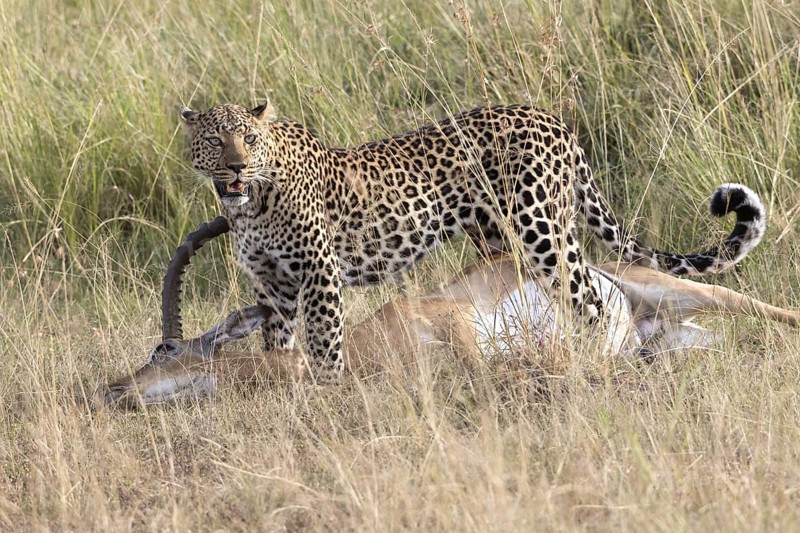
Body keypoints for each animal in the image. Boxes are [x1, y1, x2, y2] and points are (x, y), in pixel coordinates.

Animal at [178, 101, 764, 384]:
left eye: (248, 139)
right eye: (215, 139)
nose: (236, 166)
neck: (250, 204)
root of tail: (556, 121)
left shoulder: (320, 274)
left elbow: (326, 344)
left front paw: (328, 393)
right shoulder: (271, 287)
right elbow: (278, 345)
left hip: (542, 231)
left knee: (592, 305)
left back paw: (592, 366)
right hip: (497, 237)